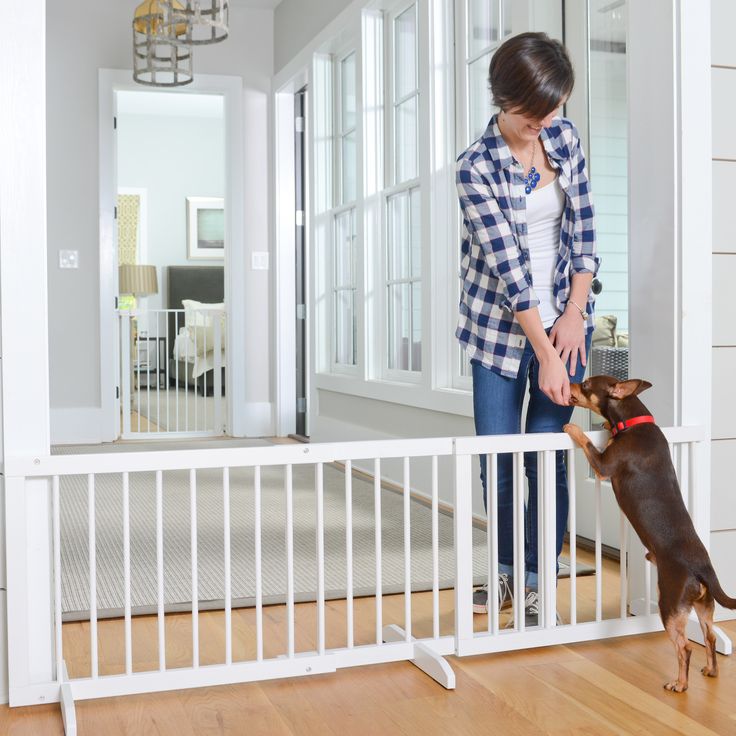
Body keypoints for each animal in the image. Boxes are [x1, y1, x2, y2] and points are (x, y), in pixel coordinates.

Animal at [560, 376, 732, 692]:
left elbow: (586, 441)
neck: (633, 421)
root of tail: (703, 569)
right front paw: (606, 427)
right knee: (710, 636)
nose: (572, 383)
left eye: (587, 385)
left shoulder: (602, 466)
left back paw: (680, 684)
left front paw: (573, 427)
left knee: (684, 648)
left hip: (670, 604)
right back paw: (711, 671)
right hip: (704, 606)